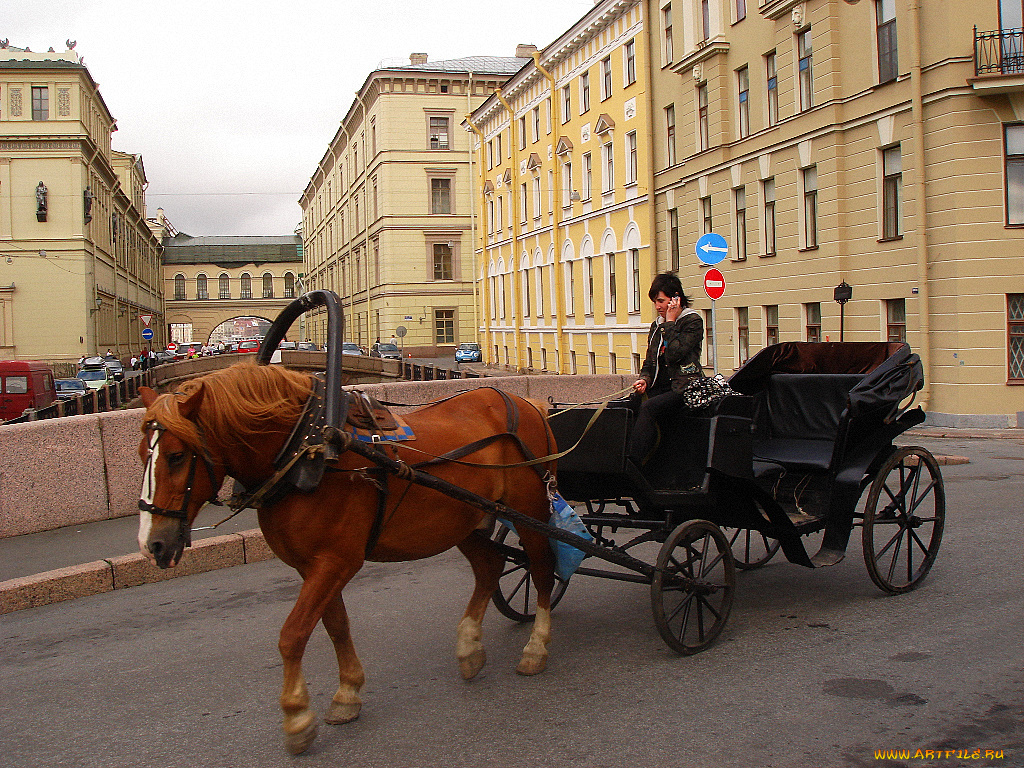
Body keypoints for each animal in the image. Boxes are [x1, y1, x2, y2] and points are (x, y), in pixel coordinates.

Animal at [137, 364, 561, 753]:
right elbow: (336, 626)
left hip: (531, 511)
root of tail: (529, 404)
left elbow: (293, 634)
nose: (152, 544)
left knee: (542, 570)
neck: (307, 450)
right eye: (143, 454)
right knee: (490, 567)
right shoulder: (314, 565)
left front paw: (297, 716)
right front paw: (348, 693)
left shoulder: (336, 561)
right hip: (463, 520)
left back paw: (536, 647)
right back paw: (469, 646)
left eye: (176, 456)